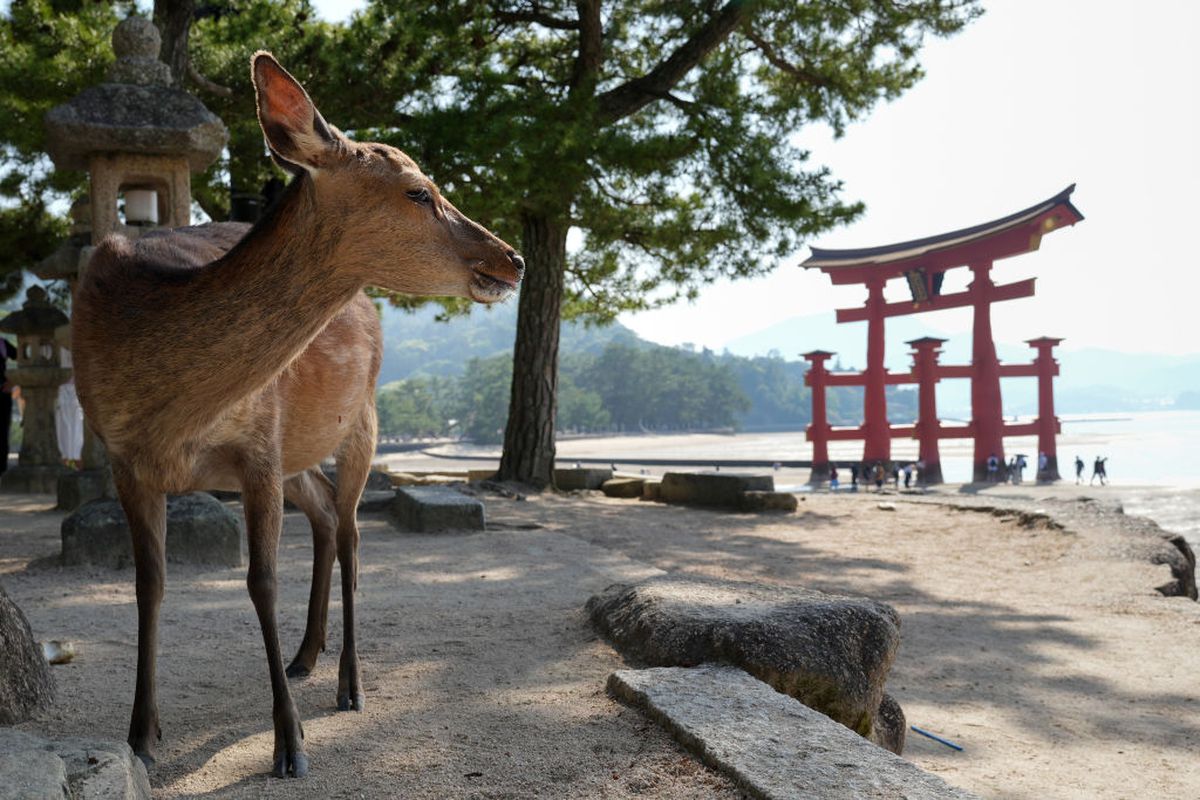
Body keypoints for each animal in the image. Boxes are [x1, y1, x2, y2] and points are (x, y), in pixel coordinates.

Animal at [70, 53, 520, 777]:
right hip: (303, 449)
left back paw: (350, 683)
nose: (513, 257)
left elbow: (260, 582)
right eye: (419, 192)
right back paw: (306, 655)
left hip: (363, 417)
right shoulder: (123, 457)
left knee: (354, 531)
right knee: (328, 516)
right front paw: (141, 734)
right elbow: (150, 583)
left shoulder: (260, 443)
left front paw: (290, 745)